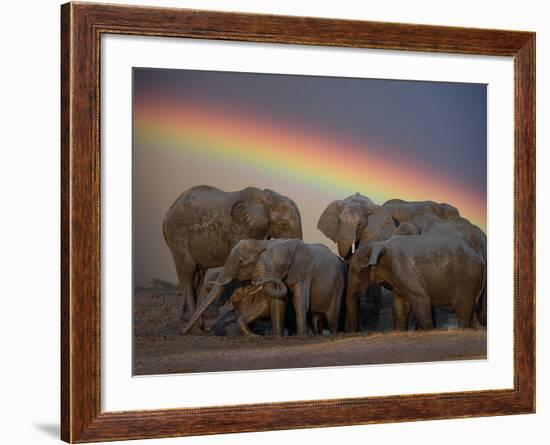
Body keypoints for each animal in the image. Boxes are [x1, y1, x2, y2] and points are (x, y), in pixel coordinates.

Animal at [164, 185, 302, 326]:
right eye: (283, 224)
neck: (268, 199)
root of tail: (167, 213)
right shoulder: (240, 229)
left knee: (199, 274)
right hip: (177, 236)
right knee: (188, 270)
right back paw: (192, 318)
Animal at [350, 232, 488, 330]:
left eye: (356, 271)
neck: (379, 244)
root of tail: (480, 257)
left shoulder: (401, 266)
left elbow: (421, 299)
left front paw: (428, 330)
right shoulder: (397, 276)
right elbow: (401, 306)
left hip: (466, 276)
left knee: (462, 309)